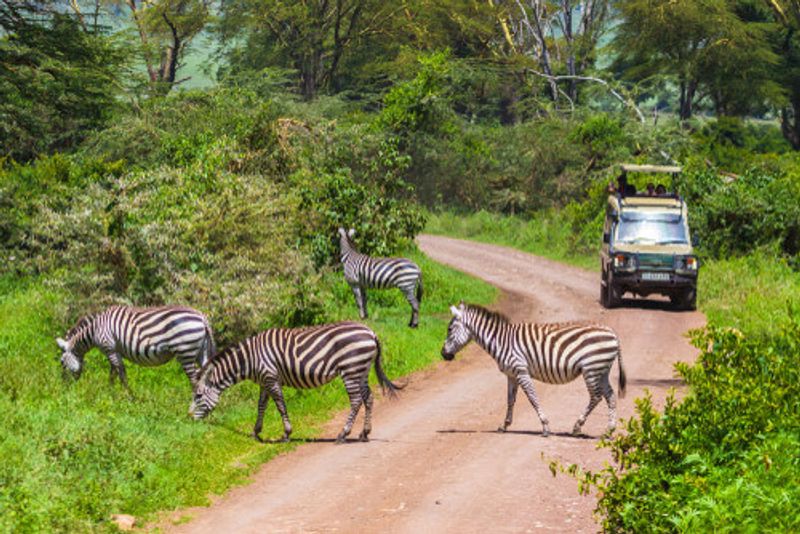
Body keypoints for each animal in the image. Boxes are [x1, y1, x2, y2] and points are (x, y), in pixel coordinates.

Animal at [56, 308, 216, 392]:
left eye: (62, 362)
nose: (63, 387)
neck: (95, 329)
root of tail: (202, 318)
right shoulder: (114, 350)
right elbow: (114, 372)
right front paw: (110, 392)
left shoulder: (109, 348)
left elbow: (120, 373)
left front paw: (127, 397)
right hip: (201, 352)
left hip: (186, 352)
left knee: (195, 380)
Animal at [191, 322, 404, 444]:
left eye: (198, 396)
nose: (189, 418)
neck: (250, 359)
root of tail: (371, 332)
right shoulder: (264, 381)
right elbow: (261, 405)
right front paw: (256, 432)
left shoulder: (271, 377)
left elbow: (280, 405)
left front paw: (286, 434)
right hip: (361, 370)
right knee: (369, 398)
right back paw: (364, 433)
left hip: (351, 370)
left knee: (356, 401)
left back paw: (343, 434)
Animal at [444, 304, 624, 438]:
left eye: (450, 329)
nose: (443, 354)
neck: (501, 341)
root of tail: (613, 333)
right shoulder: (511, 375)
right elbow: (510, 400)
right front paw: (505, 425)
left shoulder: (521, 371)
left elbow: (532, 398)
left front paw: (545, 427)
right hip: (601, 370)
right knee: (610, 395)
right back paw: (609, 430)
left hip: (591, 369)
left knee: (596, 396)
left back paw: (577, 427)